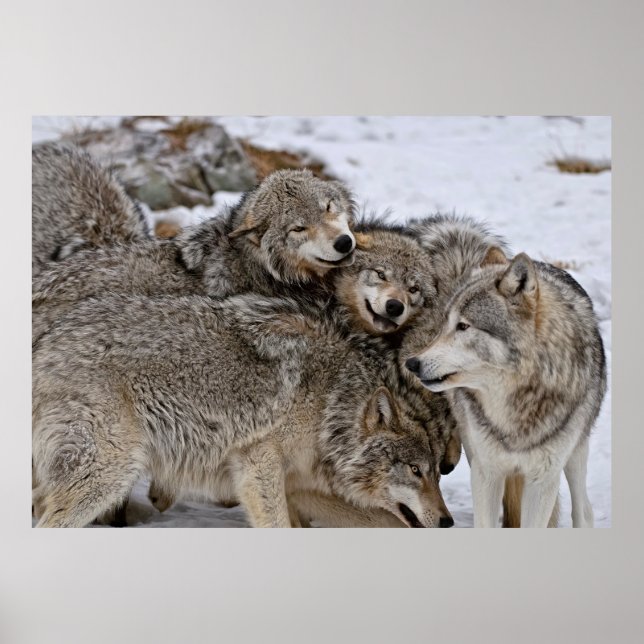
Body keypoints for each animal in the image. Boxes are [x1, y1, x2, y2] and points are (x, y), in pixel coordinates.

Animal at [32, 294, 454, 528]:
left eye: (435, 474)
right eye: (415, 470)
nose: (448, 522)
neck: (329, 404)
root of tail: (44, 342)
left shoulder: (299, 486)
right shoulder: (258, 465)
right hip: (108, 476)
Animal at [404, 250, 606, 527]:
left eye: (463, 326)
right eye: (445, 324)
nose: (412, 363)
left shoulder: (542, 480)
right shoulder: (486, 472)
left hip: (576, 452)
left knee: (583, 510)